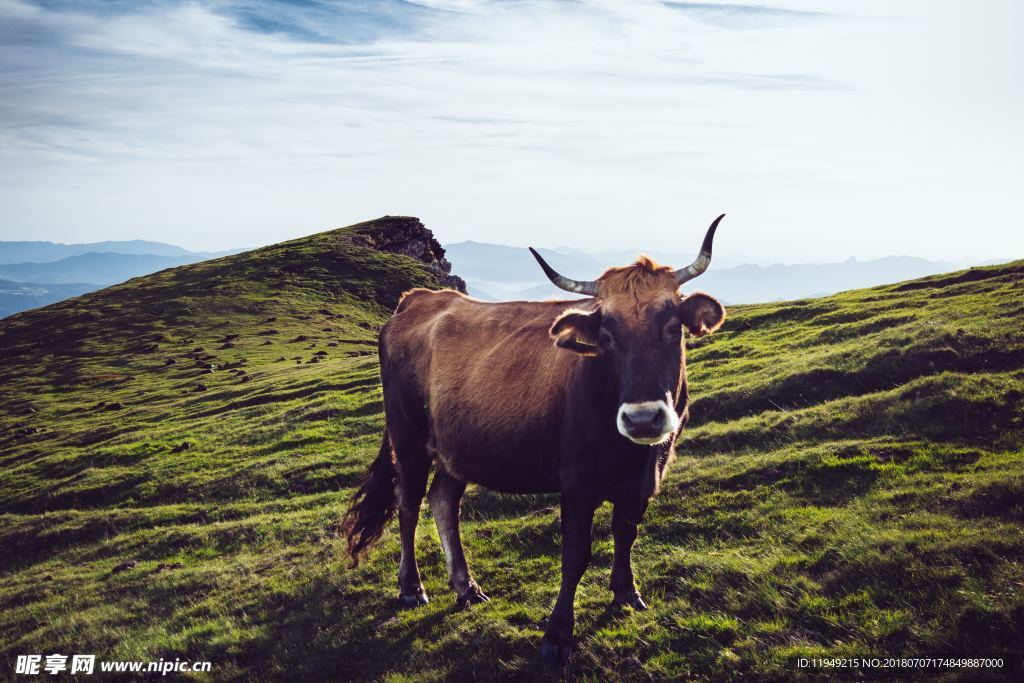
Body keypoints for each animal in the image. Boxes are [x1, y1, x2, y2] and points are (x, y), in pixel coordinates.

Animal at [344, 216, 729, 663]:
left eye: (672, 328)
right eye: (607, 337)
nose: (642, 418)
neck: (630, 456)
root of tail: (418, 300)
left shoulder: (646, 476)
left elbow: (626, 533)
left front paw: (626, 594)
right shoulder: (576, 480)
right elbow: (575, 554)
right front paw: (557, 635)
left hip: (456, 447)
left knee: (443, 501)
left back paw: (466, 587)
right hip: (408, 439)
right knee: (408, 506)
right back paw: (411, 588)